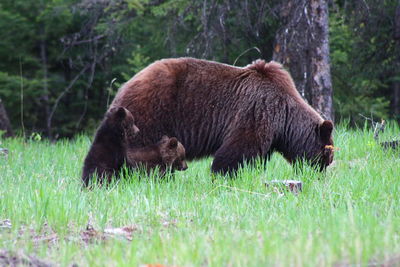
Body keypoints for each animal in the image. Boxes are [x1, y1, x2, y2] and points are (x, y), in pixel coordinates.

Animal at [109, 57, 334, 175]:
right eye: (327, 154)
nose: (323, 172)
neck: (285, 120)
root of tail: (125, 85)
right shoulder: (257, 111)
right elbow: (238, 150)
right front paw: (223, 175)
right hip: (150, 112)